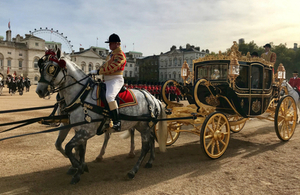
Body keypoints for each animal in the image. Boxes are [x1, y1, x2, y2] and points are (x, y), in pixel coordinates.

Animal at [36, 49, 168, 184]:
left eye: (51, 69)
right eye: (41, 67)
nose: (39, 91)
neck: (82, 96)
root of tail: (152, 97)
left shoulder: (87, 131)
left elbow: (69, 148)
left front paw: (80, 168)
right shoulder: (80, 130)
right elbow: (79, 150)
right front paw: (78, 170)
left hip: (144, 126)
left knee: (145, 146)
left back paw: (133, 171)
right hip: (141, 126)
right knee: (151, 140)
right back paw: (149, 161)